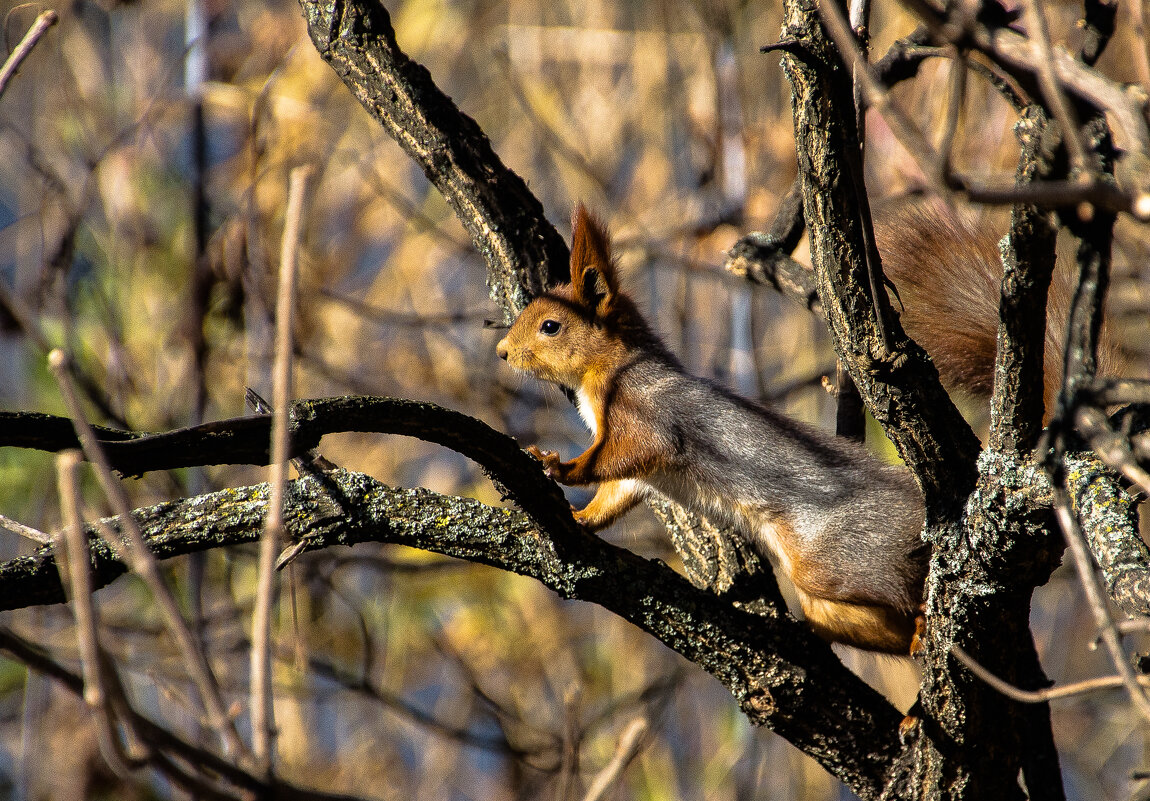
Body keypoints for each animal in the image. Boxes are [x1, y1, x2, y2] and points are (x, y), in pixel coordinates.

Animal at [494, 198, 1113, 648]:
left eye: (550, 326)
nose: (501, 352)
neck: (608, 374)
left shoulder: (648, 413)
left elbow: (619, 455)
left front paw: (561, 466)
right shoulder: (637, 473)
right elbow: (617, 493)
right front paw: (581, 517)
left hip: (841, 558)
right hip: (827, 596)